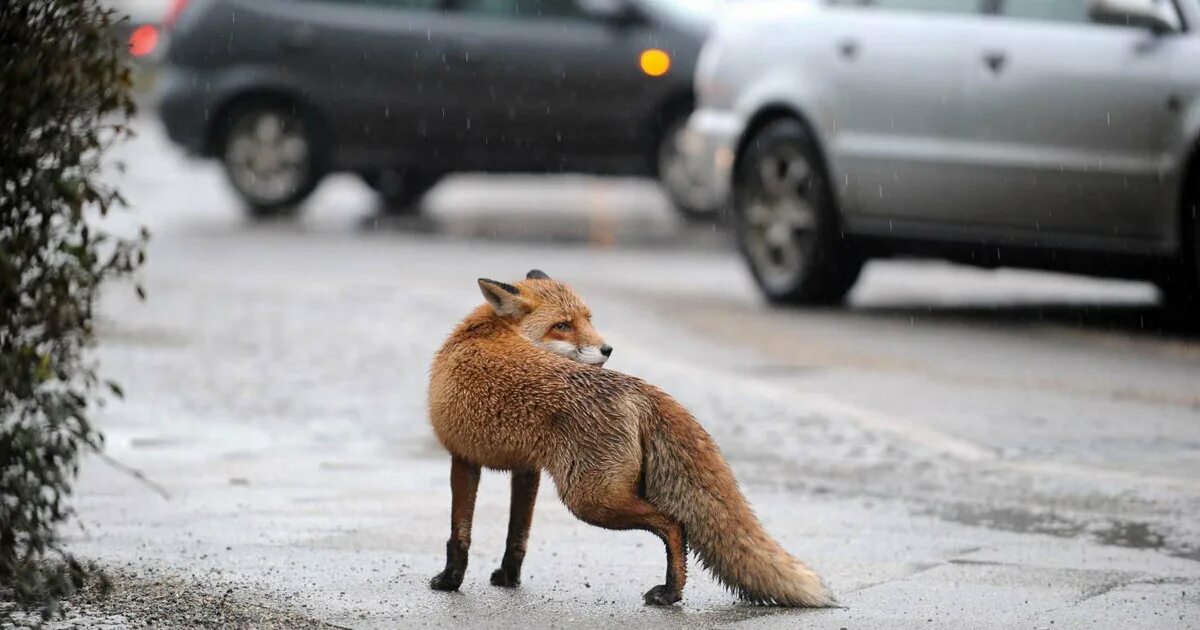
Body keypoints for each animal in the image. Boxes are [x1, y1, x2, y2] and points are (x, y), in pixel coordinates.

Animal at [429, 268, 835, 604]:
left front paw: (450, 581)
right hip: (597, 494)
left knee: (674, 523)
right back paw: (674, 590)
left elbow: (458, 533)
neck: (487, 331)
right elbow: (518, 533)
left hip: (589, 499)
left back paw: (670, 592)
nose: (608, 348)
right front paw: (508, 577)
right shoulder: (526, 470)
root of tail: (637, 387)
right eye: (562, 325)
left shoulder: (462, 457)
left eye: (587, 319)